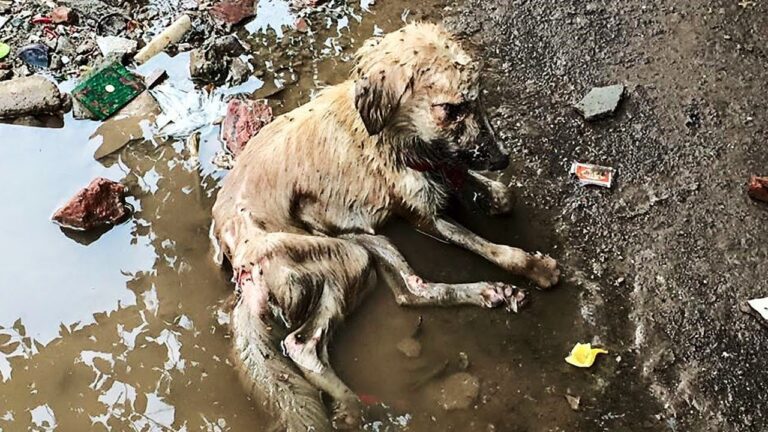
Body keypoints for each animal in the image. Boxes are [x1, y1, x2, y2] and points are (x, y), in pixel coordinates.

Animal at [210, 22, 560, 432]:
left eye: (478, 99)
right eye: (451, 109)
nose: (503, 159)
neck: (395, 136)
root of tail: (242, 268)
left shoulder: (438, 176)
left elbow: (483, 189)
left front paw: (491, 193)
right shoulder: (425, 216)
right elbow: (485, 245)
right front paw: (532, 266)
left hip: (370, 243)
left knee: (412, 290)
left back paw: (492, 293)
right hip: (348, 255)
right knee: (302, 345)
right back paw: (350, 404)